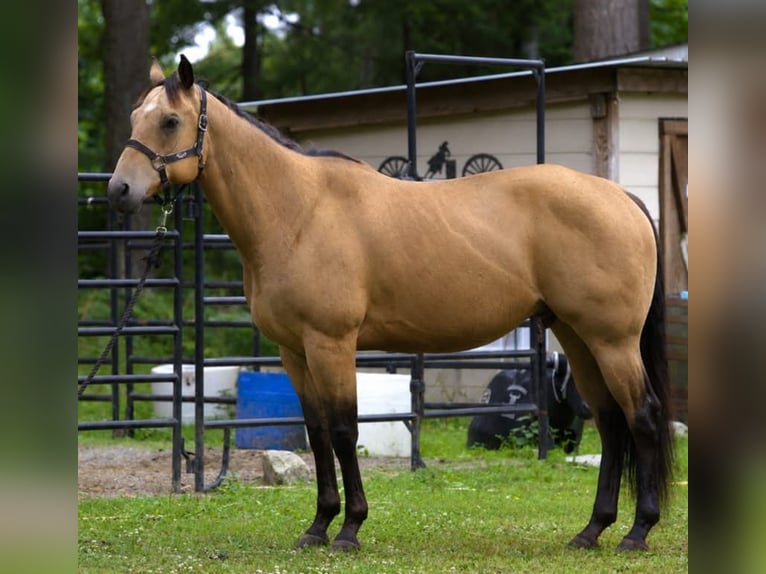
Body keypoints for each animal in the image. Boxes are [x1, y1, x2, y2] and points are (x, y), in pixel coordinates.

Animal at [107, 55, 674, 552]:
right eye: (135, 117)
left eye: (171, 120)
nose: (118, 191)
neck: (299, 211)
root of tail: (622, 198)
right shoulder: (294, 352)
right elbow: (316, 433)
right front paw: (317, 527)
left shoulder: (331, 344)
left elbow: (343, 430)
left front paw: (349, 529)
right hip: (578, 338)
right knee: (611, 422)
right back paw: (592, 530)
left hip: (612, 340)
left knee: (643, 416)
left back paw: (637, 532)